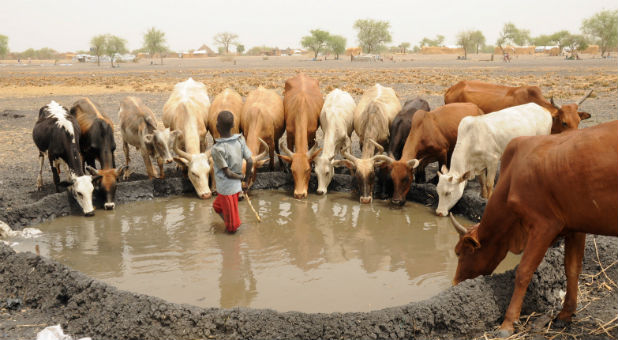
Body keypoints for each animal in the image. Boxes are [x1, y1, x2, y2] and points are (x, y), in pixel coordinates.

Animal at [448, 120, 616, 338]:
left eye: (460, 253)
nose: (454, 282)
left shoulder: (544, 226)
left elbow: (523, 272)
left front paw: (508, 323)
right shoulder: (575, 226)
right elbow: (572, 269)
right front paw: (565, 314)